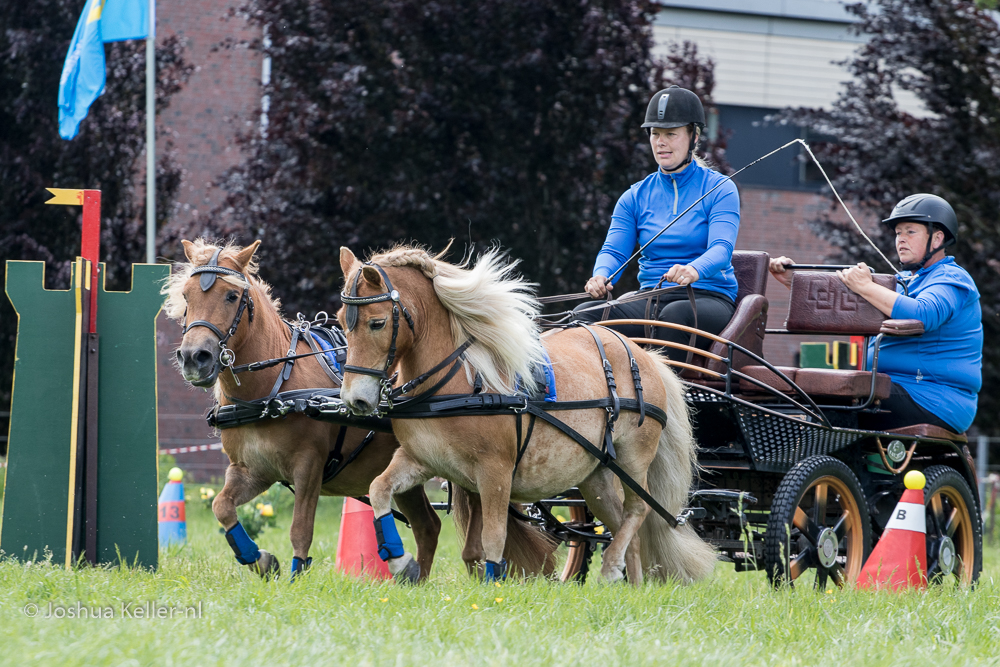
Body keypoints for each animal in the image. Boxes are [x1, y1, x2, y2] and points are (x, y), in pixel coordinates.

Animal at [164, 239, 556, 580]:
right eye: (185, 296)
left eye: (231, 296)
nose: (194, 357)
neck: (274, 387)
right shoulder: (250, 470)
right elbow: (222, 507)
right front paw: (258, 559)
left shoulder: (309, 467)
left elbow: (300, 531)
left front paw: (293, 577)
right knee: (429, 527)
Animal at [340, 245, 716, 584]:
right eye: (343, 321)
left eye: (377, 323)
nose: (355, 399)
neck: (456, 382)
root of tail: (644, 353)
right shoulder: (421, 459)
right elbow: (379, 489)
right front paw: (400, 561)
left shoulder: (495, 472)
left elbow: (493, 539)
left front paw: (493, 584)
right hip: (594, 475)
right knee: (625, 527)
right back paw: (632, 589)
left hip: (633, 457)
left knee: (637, 511)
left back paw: (611, 569)